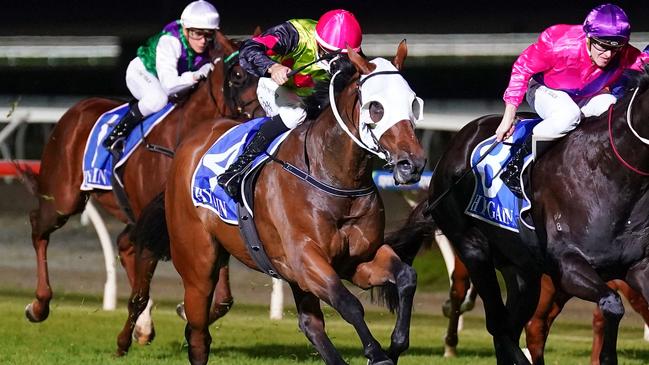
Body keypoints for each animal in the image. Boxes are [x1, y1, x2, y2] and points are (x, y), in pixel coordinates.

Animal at [21, 30, 262, 342]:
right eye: (239, 75)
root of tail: (76, 109)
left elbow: (222, 298)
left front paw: (185, 312)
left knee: (124, 244)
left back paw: (143, 326)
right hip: (63, 198)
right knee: (38, 225)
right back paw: (39, 305)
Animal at [131, 41, 426, 362]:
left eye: (413, 103)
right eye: (376, 107)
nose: (413, 164)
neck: (334, 177)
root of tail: (189, 144)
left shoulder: (359, 260)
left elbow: (407, 277)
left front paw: (395, 345)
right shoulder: (305, 259)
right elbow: (348, 303)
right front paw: (377, 353)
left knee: (310, 325)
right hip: (198, 264)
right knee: (197, 332)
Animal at [384, 66, 649, 364]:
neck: (605, 171)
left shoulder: (638, 266)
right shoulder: (567, 266)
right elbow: (612, 304)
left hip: (522, 271)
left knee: (511, 324)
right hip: (474, 249)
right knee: (498, 323)